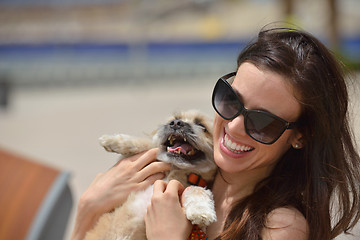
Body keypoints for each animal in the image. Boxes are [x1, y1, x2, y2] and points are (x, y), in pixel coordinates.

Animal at [84, 110, 218, 240]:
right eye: (174, 119)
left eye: (202, 126)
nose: (175, 123)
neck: (175, 169)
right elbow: (149, 144)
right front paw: (112, 140)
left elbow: (197, 189)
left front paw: (201, 211)